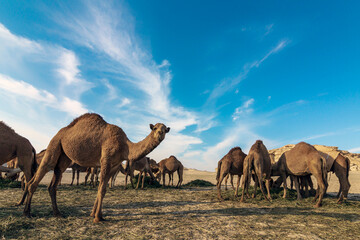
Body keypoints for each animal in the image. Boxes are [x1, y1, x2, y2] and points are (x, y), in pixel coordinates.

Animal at [21, 113, 170, 222]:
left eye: (165, 130)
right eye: (155, 128)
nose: (160, 134)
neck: (125, 147)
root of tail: (60, 132)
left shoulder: (114, 165)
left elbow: (100, 187)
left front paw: (94, 214)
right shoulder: (106, 159)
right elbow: (102, 189)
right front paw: (98, 217)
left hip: (64, 156)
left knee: (54, 181)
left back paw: (57, 213)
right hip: (54, 144)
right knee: (40, 174)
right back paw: (27, 213)